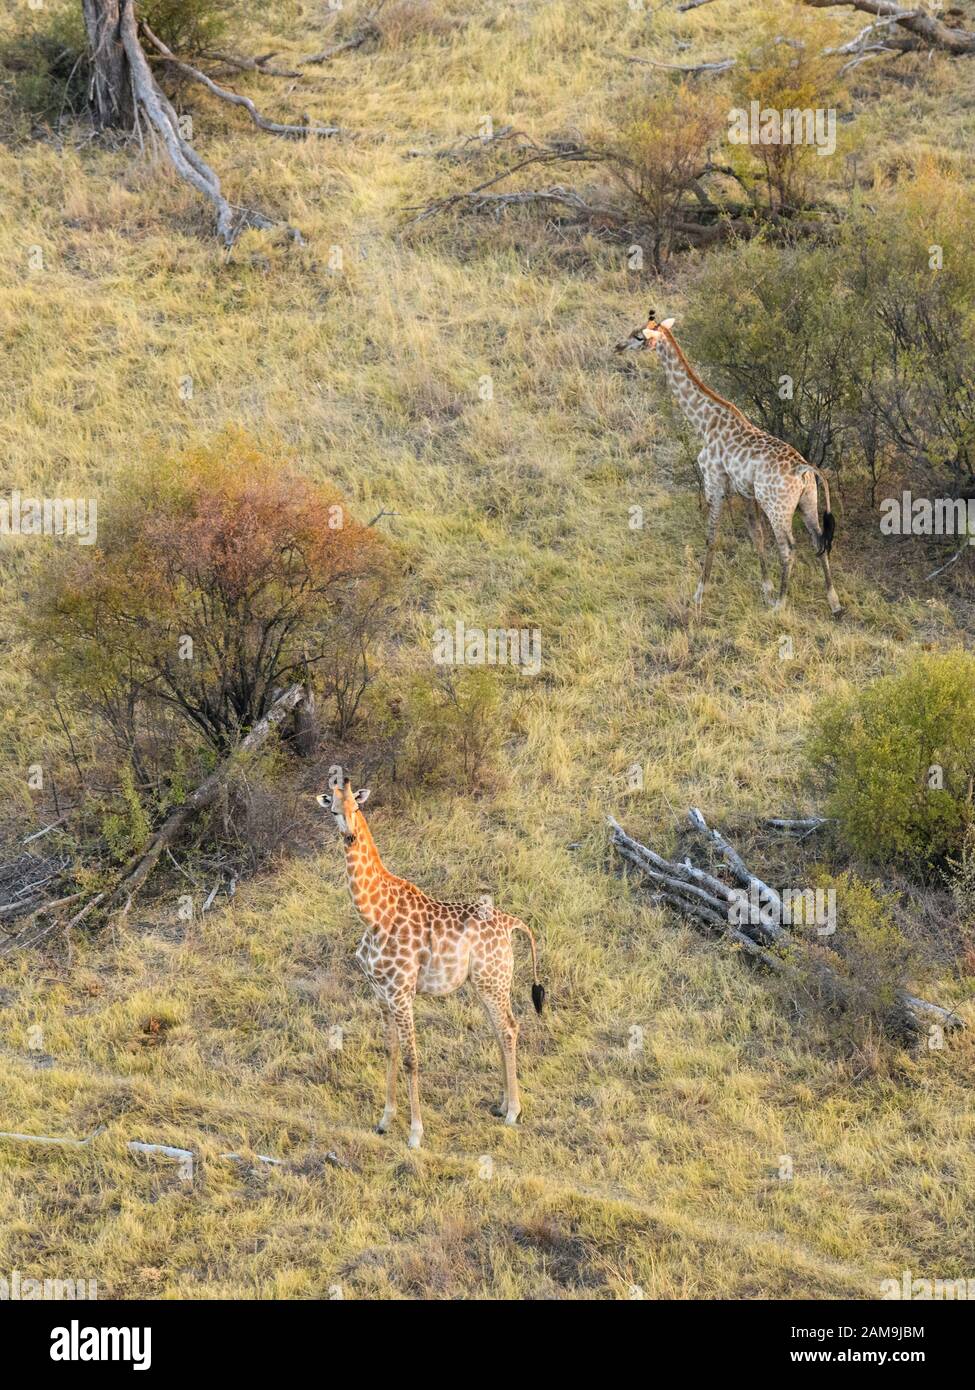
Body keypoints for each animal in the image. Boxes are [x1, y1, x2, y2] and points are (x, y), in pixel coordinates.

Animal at [319, 783, 545, 1150]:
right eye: (334, 811)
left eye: (357, 807)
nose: (350, 836)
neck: (373, 916)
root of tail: (512, 923)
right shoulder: (381, 993)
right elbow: (391, 1050)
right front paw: (384, 1121)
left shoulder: (402, 992)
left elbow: (411, 1058)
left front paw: (415, 1134)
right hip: (485, 983)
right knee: (501, 1031)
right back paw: (501, 1105)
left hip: (493, 981)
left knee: (510, 1028)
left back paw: (513, 1112)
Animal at [611, 309, 840, 614]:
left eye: (638, 336)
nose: (618, 347)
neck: (704, 421)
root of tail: (804, 468)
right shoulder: (744, 490)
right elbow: (756, 535)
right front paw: (766, 590)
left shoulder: (714, 480)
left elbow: (711, 536)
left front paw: (699, 594)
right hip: (808, 501)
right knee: (818, 539)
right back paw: (834, 602)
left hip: (777, 507)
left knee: (789, 548)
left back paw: (780, 605)